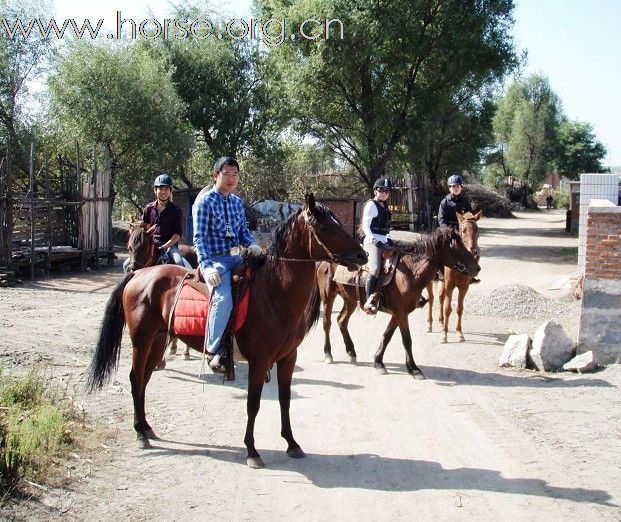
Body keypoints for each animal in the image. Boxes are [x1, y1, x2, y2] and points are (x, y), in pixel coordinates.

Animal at [88, 195, 368, 468]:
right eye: (325, 227)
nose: (361, 255)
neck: (273, 291)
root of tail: (139, 275)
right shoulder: (259, 361)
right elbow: (253, 404)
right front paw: (252, 450)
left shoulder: (288, 358)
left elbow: (285, 400)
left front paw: (292, 443)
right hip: (141, 339)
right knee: (136, 378)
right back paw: (139, 433)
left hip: (157, 340)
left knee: (144, 379)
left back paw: (147, 428)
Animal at [314, 225, 480, 376]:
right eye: (455, 246)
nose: (477, 267)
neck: (410, 272)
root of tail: (327, 259)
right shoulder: (401, 313)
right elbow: (407, 339)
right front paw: (414, 369)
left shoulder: (398, 313)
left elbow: (387, 336)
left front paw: (378, 362)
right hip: (328, 297)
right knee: (327, 323)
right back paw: (328, 354)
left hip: (350, 300)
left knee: (342, 321)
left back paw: (351, 353)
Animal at [424, 209, 482, 344]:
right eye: (463, 230)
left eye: (477, 230)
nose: (474, 252)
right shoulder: (450, 286)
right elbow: (448, 309)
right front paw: (444, 336)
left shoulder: (464, 287)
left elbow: (459, 309)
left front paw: (459, 333)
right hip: (430, 282)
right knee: (431, 299)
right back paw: (430, 325)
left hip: (442, 282)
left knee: (440, 297)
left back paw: (441, 323)